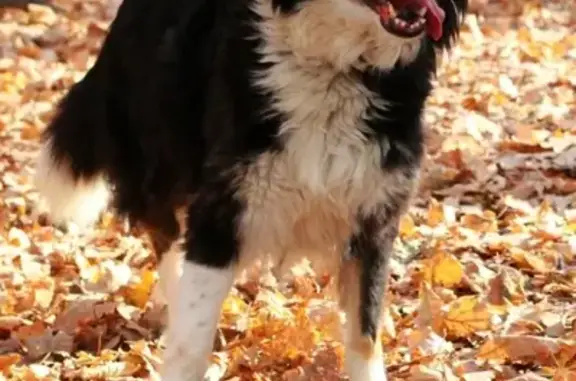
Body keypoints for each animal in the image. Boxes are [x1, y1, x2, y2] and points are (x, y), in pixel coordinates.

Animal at [33, 0, 468, 378]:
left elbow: (364, 338)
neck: (337, 67)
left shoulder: (373, 221)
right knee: (166, 239)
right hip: (159, 158)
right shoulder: (221, 212)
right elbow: (191, 342)